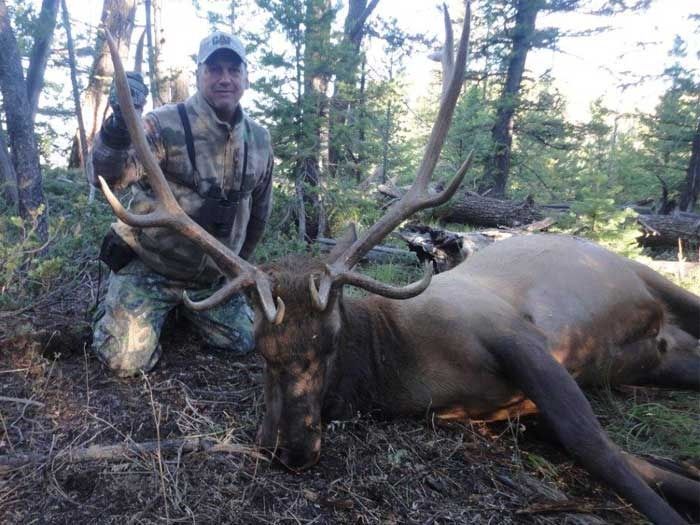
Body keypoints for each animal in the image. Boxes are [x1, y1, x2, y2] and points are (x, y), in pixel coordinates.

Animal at [100, 3, 700, 523]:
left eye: (329, 342)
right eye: (261, 351)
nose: (289, 450)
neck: (408, 371)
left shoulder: (516, 335)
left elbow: (594, 446)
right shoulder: (523, 413)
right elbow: (644, 464)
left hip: (651, 281)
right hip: (658, 357)